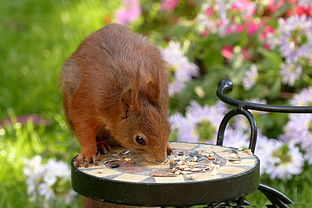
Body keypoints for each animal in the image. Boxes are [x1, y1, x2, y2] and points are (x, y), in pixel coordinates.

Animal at [60, 23, 172, 167]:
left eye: (168, 128)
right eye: (139, 139)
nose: (160, 159)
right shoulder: (84, 103)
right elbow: (84, 130)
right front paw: (87, 153)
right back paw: (101, 144)